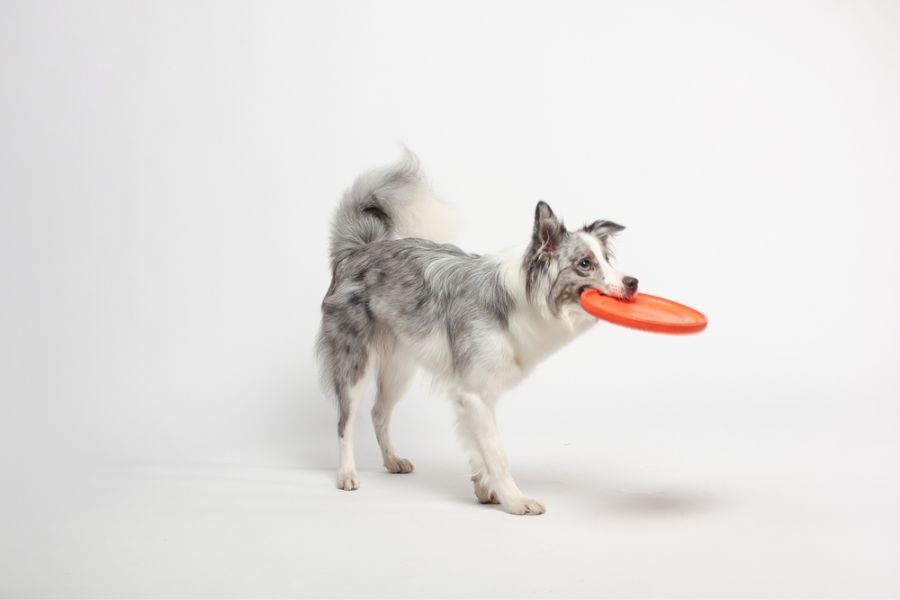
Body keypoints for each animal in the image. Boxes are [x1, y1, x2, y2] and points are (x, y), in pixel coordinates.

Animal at [320, 152, 636, 512]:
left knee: (378, 413)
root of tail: (357, 250)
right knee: (345, 422)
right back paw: (347, 474)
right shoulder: (475, 393)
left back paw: (391, 461)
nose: (633, 282)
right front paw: (515, 500)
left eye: (607, 259)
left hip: (400, 368)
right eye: (585, 263)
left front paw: (485, 490)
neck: (520, 300)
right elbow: (496, 453)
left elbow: (478, 448)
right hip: (354, 362)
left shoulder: (478, 394)